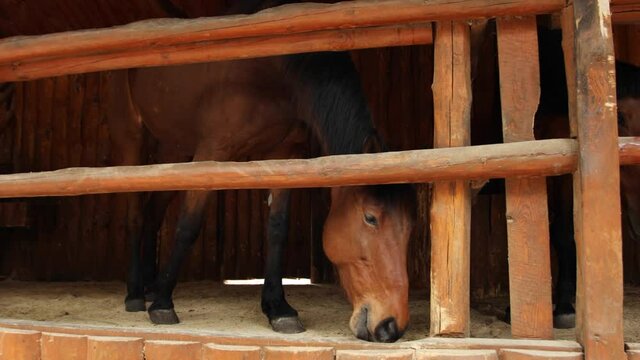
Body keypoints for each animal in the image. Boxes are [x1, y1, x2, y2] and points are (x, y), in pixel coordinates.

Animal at [106, 0, 416, 344]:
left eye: (410, 227)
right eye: (370, 217)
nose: (391, 326)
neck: (276, 72)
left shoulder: (285, 155)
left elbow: (277, 229)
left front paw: (278, 308)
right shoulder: (212, 153)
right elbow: (188, 225)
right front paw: (162, 305)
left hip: (174, 150)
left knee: (153, 211)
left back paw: (149, 284)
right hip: (131, 136)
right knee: (135, 212)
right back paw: (136, 293)